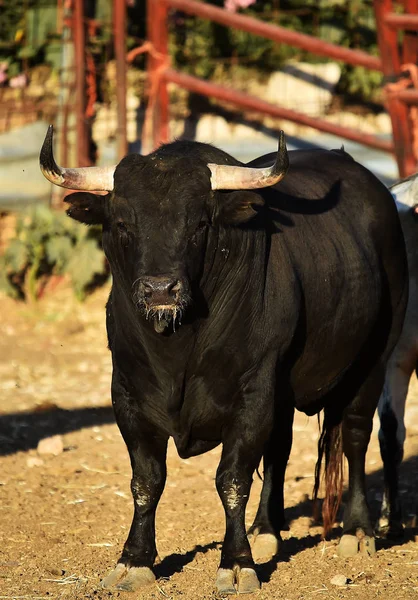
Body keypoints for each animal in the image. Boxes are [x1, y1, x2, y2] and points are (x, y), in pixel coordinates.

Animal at [40, 129, 408, 592]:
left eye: (199, 223)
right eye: (123, 222)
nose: (160, 289)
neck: (177, 348)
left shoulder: (253, 393)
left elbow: (231, 480)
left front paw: (236, 564)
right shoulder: (127, 394)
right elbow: (146, 480)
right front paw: (134, 560)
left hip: (375, 359)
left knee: (357, 437)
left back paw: (358, 530)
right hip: (285, 390)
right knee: (280, 449)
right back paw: (266, 530)